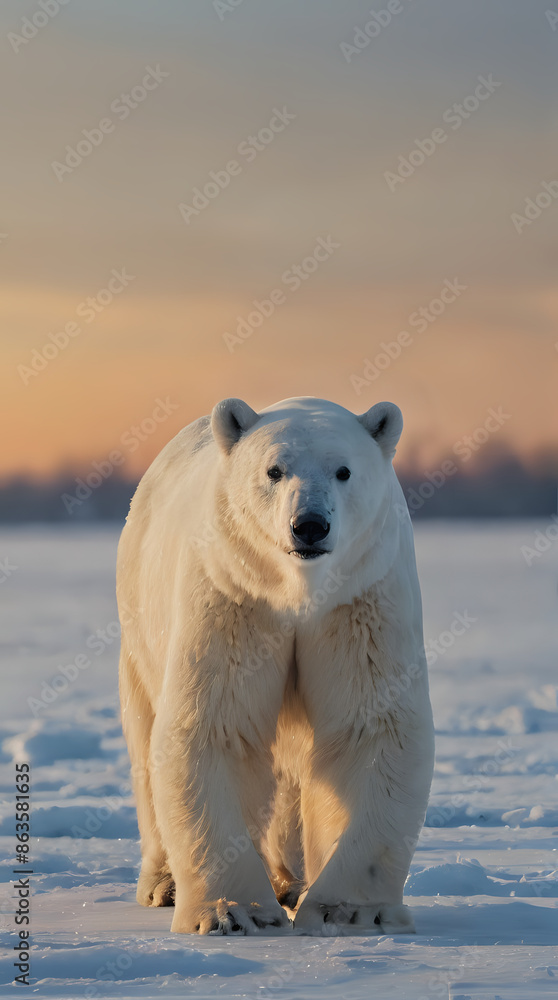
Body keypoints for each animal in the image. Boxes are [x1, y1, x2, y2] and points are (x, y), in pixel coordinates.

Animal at [116, 394, 436, 932]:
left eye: (344, 470)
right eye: (274, 469)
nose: (309, 525)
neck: (298, 590)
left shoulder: (361, 597)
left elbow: (370, 728)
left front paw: (348, 911)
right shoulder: (236, 593)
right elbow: (217, 726)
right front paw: (231, 912)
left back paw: (292, 880)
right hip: (140, 628)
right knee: (145, 742)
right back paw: (165, 884)